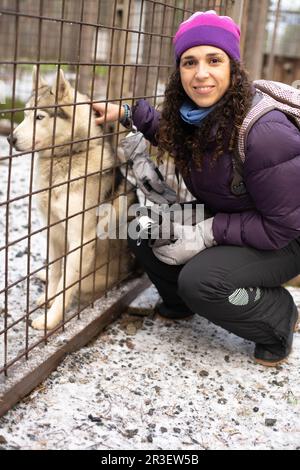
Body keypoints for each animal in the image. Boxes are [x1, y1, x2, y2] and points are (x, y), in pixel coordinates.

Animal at [8, 67, 135, 330]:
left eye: (39, 117)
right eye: (25, 114)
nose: (10, 139)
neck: (65, 157)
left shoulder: (81, 240)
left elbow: (65, 288)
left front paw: (50, 320)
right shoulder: (53, 229)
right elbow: (56, 270)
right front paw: (48, 296)